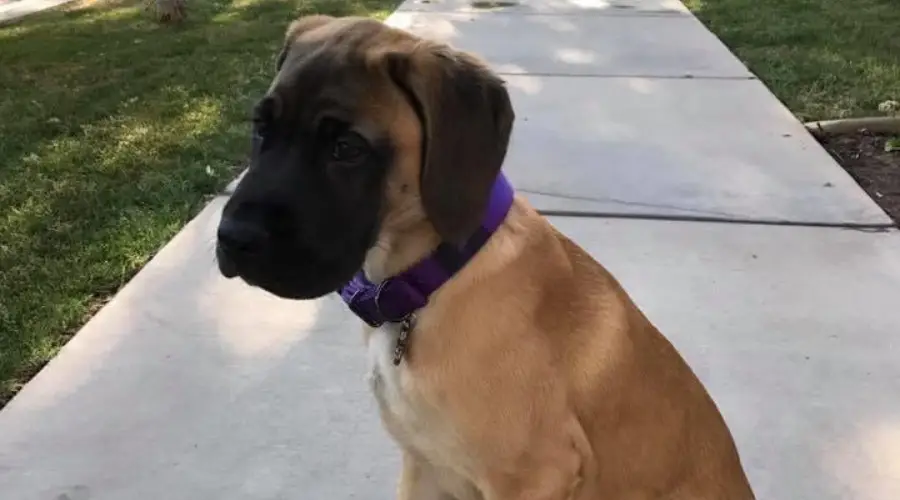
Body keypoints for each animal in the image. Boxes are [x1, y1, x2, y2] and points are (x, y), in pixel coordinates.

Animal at [214, 14, 756, 500]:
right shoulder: (424, 467)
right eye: (260, 127)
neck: (429, 283)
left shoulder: (536, 473)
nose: (233, 238)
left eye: (346, 147)